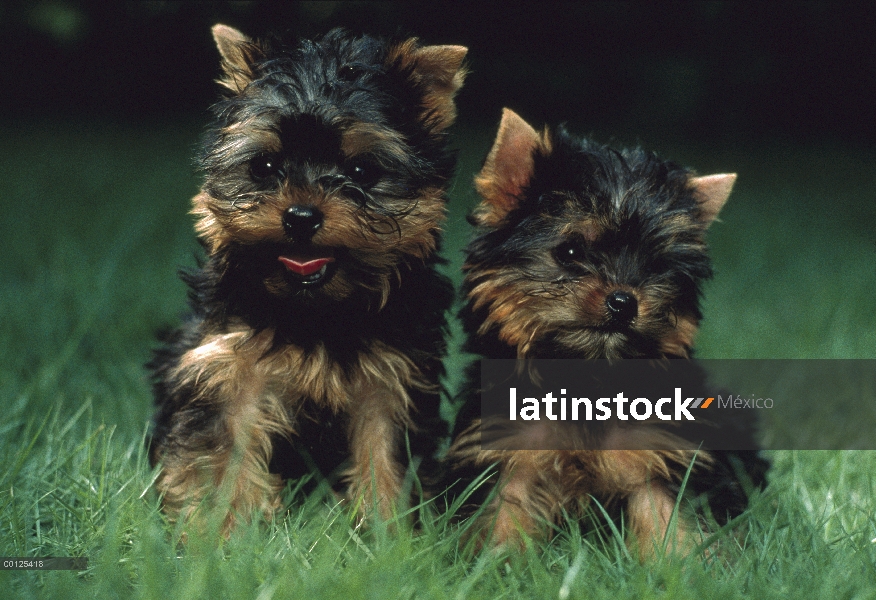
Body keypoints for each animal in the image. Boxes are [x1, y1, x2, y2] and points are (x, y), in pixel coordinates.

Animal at [148, 24, 468, 528]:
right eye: (264, 166)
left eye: (361, 170)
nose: (300, 216)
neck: (315, 310)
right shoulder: (229, 368)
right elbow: (224, 451)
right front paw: (222, 532)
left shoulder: (392, 376)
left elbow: (384, 450)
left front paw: (387, 529)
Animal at [444, 110, 768, 556]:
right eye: (570, 251)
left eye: (655, 265)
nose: (624, 301)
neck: (589, 373)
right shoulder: (511, 448)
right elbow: (504, 516)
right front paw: (495, 562)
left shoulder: (658, 449)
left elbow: (668, 520)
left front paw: (678, 565)